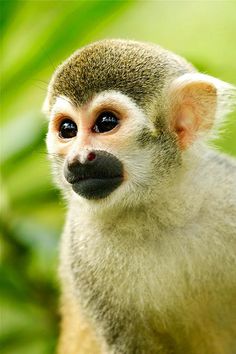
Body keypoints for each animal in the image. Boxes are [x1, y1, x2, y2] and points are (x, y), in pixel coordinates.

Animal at [43, 39, 236, 354]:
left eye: (106, 123)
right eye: (68, 129)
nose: (78, 159)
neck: (157, 213)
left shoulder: (226, 190)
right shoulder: (83, 249)